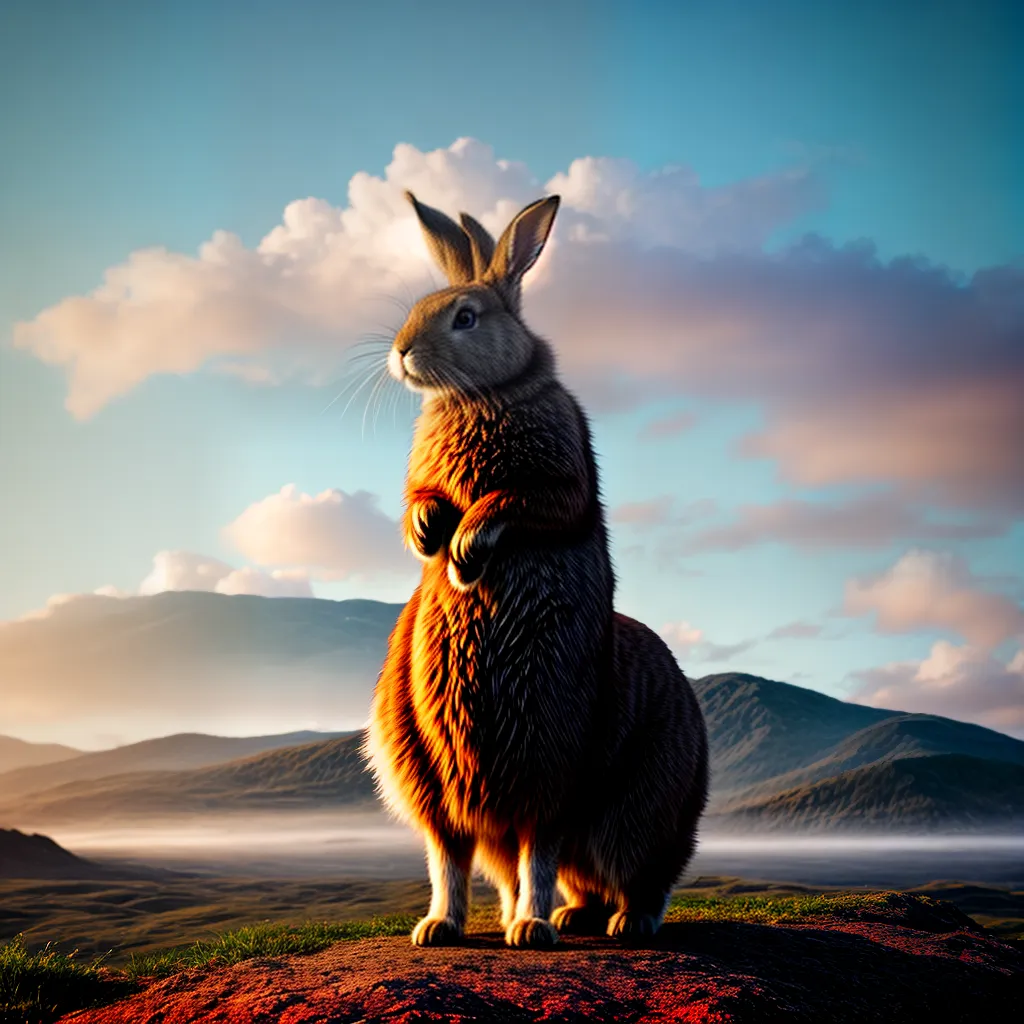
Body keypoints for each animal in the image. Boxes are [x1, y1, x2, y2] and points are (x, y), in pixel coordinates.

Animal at [365, 190, 708, 949]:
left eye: (466, 316)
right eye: (422, 304)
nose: (401, 353)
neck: (479, 394)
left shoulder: (555, 482)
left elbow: (520, 502)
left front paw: (466, 549)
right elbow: (418, 502)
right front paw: (430, 533)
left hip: (594, 782)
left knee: (600, 863)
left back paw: (573, 926)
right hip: (445, 775)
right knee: (487, 859)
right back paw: (489, 923)